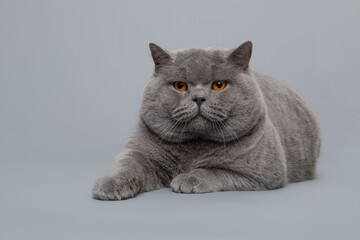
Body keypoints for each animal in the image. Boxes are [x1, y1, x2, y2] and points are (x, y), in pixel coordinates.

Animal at [92, 41, 320, 201]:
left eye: (219, 84)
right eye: (180, 85)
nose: (199, 98)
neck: (193, 148)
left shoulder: (265, 173)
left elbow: (215, 170)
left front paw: (188, 178)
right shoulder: (136, 150)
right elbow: (126, 165)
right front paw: (110, 184)